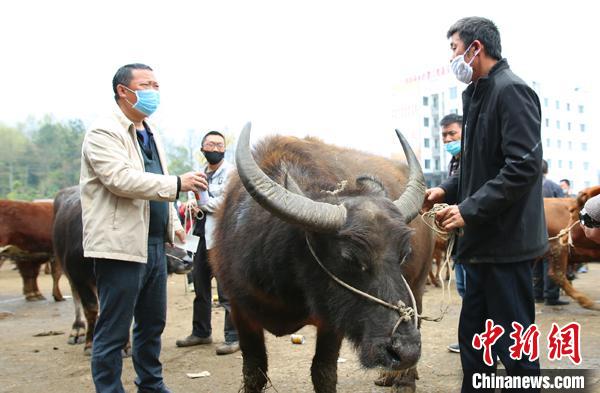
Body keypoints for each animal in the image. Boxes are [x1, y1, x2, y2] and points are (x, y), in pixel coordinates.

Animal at [213, 124, 434, 390]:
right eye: (349, 258)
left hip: (417, 285)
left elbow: (324, 371)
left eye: (403, 254)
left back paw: (404, 380)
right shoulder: (240, 311)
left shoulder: (330, 321)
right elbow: (254, 372)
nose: (407, 352)